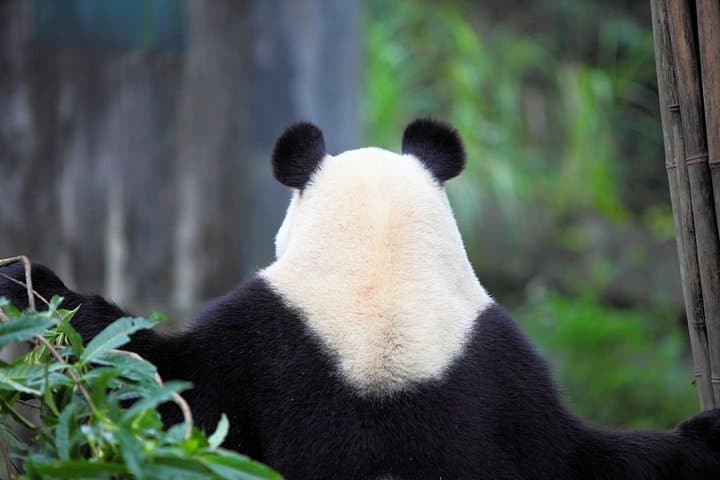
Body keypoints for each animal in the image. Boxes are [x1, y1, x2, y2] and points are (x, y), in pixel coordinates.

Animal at [2, 118, 720, 479]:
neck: (380, 286)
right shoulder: (509, 380)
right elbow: (585, 458)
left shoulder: (249, 346)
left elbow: (158, 384)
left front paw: (32, 283)